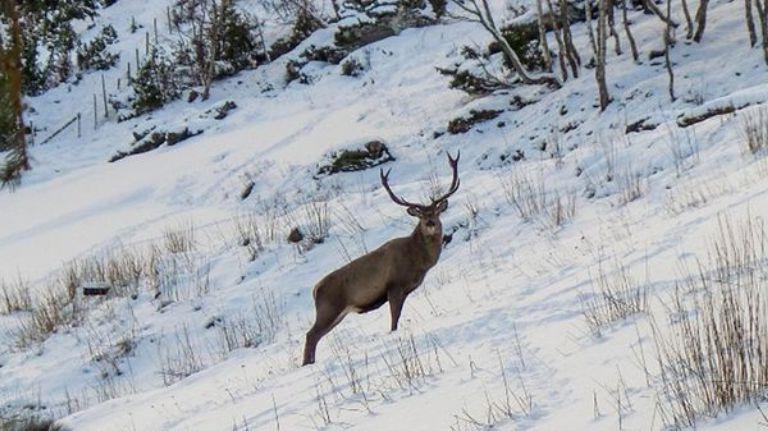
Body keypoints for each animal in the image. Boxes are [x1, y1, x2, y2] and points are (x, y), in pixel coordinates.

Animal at [302, 152, 460, 364]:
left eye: (436, 212)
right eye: (420, 215)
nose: (430, 223)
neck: (418, 260)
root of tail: (315, 290)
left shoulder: (406, 290)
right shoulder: (394, 285)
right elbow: (394, 319)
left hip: (336, 314)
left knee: (315, 337)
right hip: (328, 308)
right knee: (311, 335)